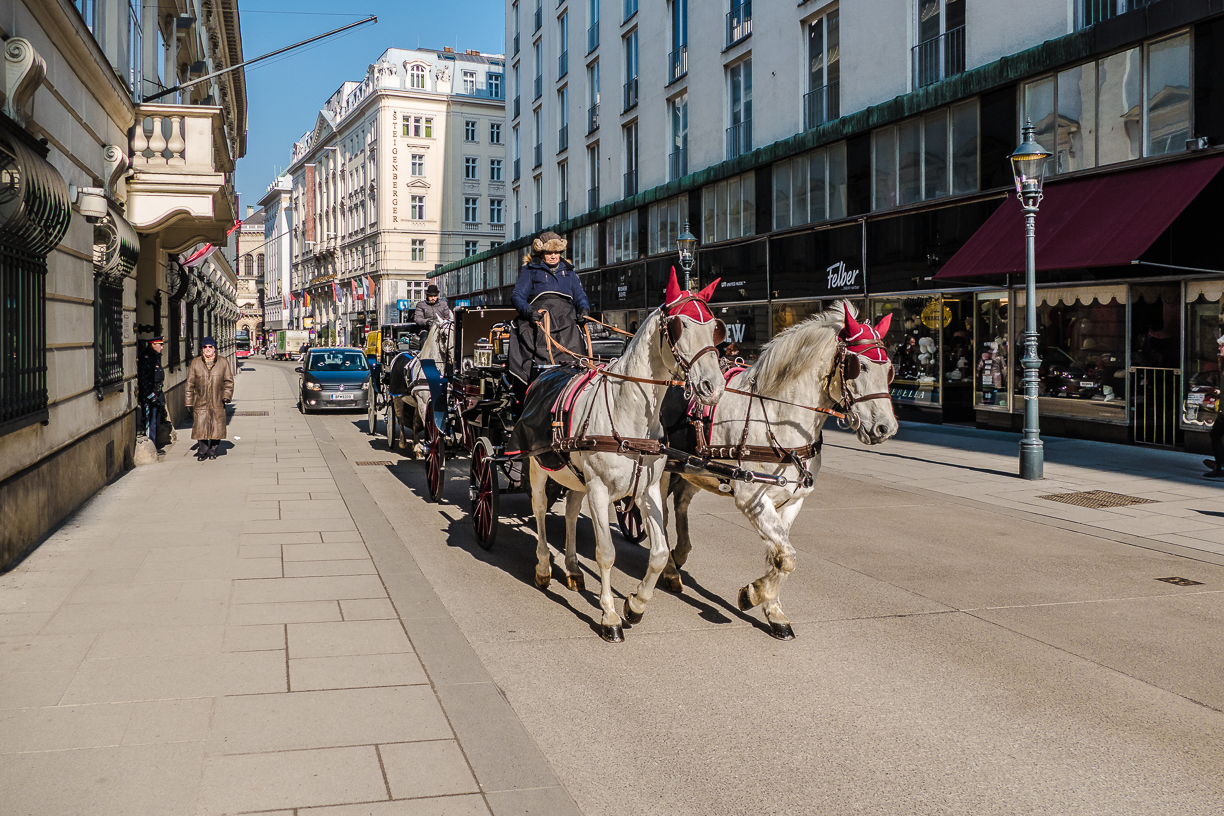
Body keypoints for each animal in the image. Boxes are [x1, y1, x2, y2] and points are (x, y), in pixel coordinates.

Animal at [523, 274, 724, 645]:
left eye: (717, 329)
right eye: (680, 326)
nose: (713, 387)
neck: (627, 412)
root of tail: (547, 369)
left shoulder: (647, 490)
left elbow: (659, 553)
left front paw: (635, 604)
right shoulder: (600, 489)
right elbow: (606, 553)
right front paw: (610, 616)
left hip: (577, 478)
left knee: (570, 511)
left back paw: (572, 568)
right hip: (537, 467)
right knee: (540, 509)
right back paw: (543, 566)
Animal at [660, 303, 900, 641]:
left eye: (889, 368)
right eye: (859, 366)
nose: (885, 428)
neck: (776, 416)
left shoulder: (791, 500)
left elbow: (779, 556)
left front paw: (771, 608)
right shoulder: (751, 498)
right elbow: (787, 557)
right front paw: (754, 594)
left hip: (693, 468)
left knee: (681, 502)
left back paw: (679, 554)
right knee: (658, 514)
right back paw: (668, 568)